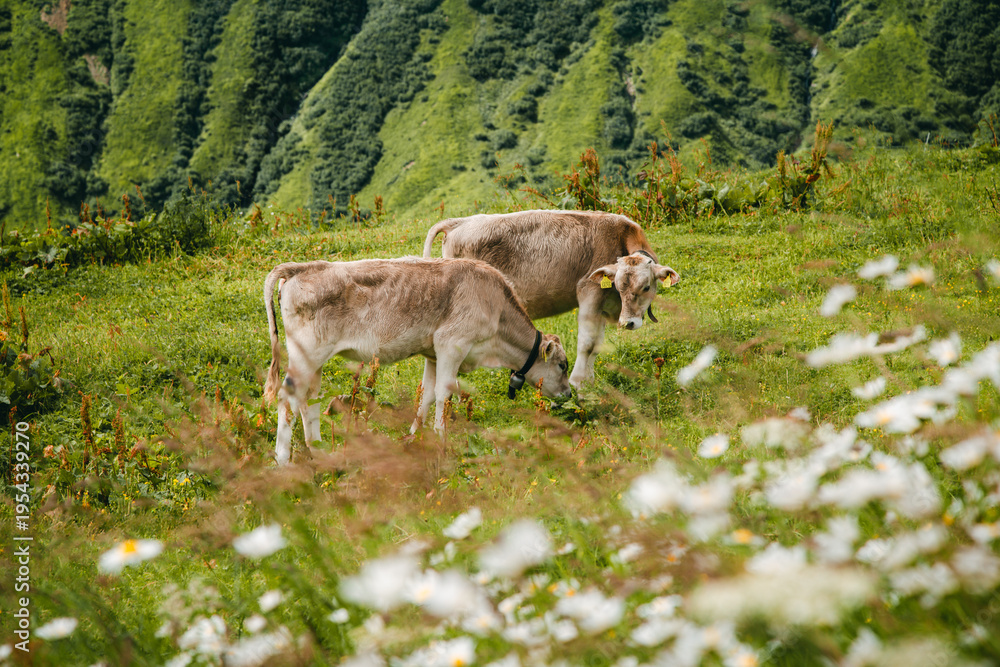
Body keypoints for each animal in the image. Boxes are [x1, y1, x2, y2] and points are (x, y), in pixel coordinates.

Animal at [263, 257, 572, 464]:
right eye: (562, 365)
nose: (569, 393)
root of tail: (301, 267)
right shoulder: (452, 344)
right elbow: (444, 393)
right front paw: (441, 439)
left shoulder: (433, 353)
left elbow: (427, 393)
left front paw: (413, 435)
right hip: (306, 354)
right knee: (287, 398)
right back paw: (283, 460)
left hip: (314, 359)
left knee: (309, 398)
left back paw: (318, 449)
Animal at [423, 209, 679, 388]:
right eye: (618, 285)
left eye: (646, 286)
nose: (628, 323)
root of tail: (458, 222)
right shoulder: (589, 292)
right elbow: (586, 343)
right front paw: (577, 383)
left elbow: (596, 345)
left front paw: (590, 381)